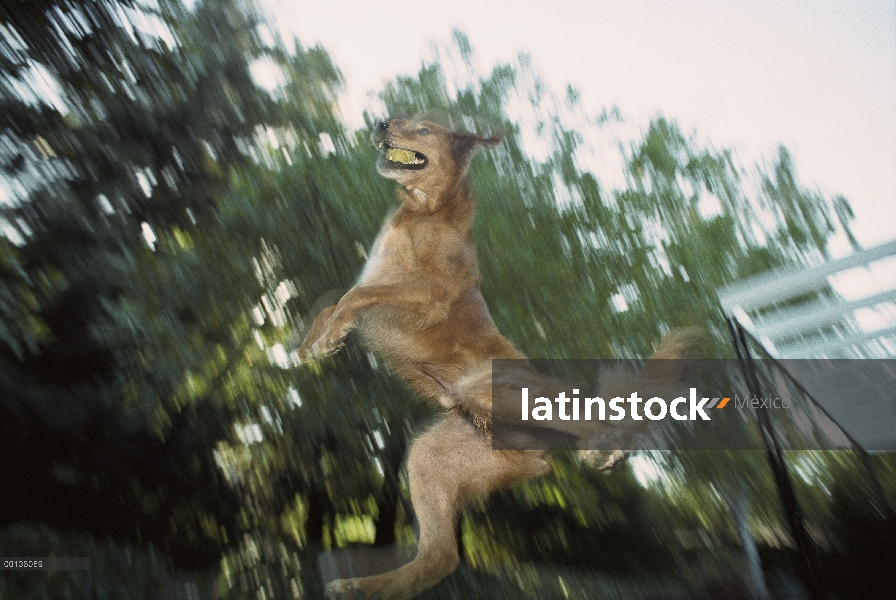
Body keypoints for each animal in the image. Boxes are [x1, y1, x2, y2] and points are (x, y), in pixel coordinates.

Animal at [298, 118, 696, 600]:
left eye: (423, 127)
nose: (382, 122)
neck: (422, 211)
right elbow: (332, 299)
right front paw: (311, 342)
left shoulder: (430, 292)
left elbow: (355, 294)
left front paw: (328, 336)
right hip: (433, 457)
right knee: (440, 557)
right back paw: (363, 586)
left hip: (489, 389)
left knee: (588, 420)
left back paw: (605, 450)